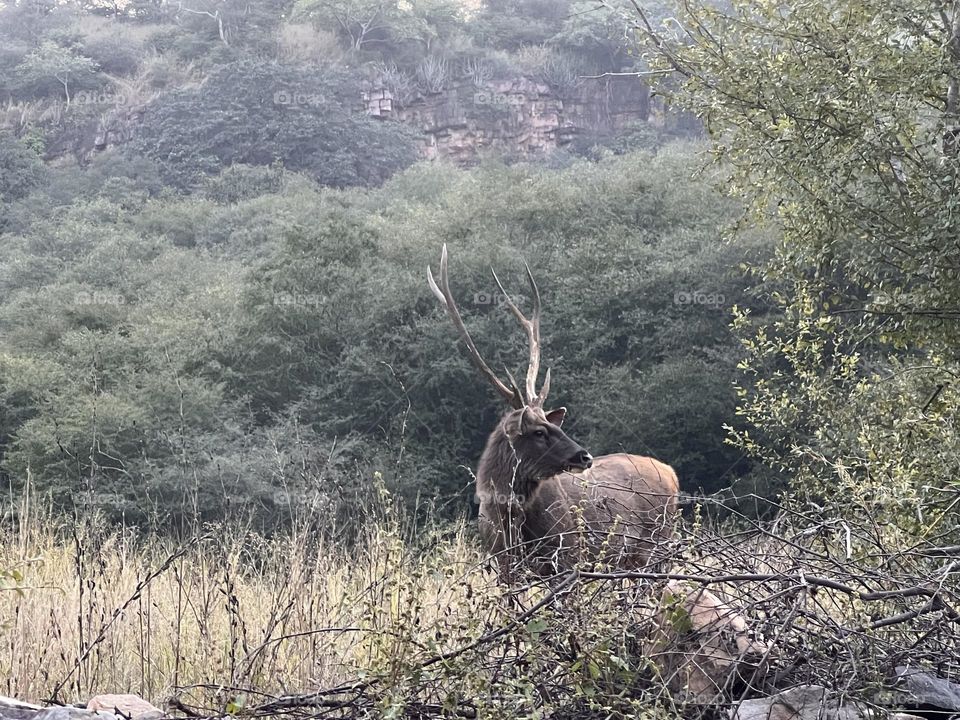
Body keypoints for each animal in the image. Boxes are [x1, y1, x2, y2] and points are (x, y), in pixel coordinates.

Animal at [428, 245, 684, 576]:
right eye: (539, 432)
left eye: (556, 425)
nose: (584, 456)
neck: (509, 523)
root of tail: (672, 475)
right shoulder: (504, 568)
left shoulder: (568, 557)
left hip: (655, 545)